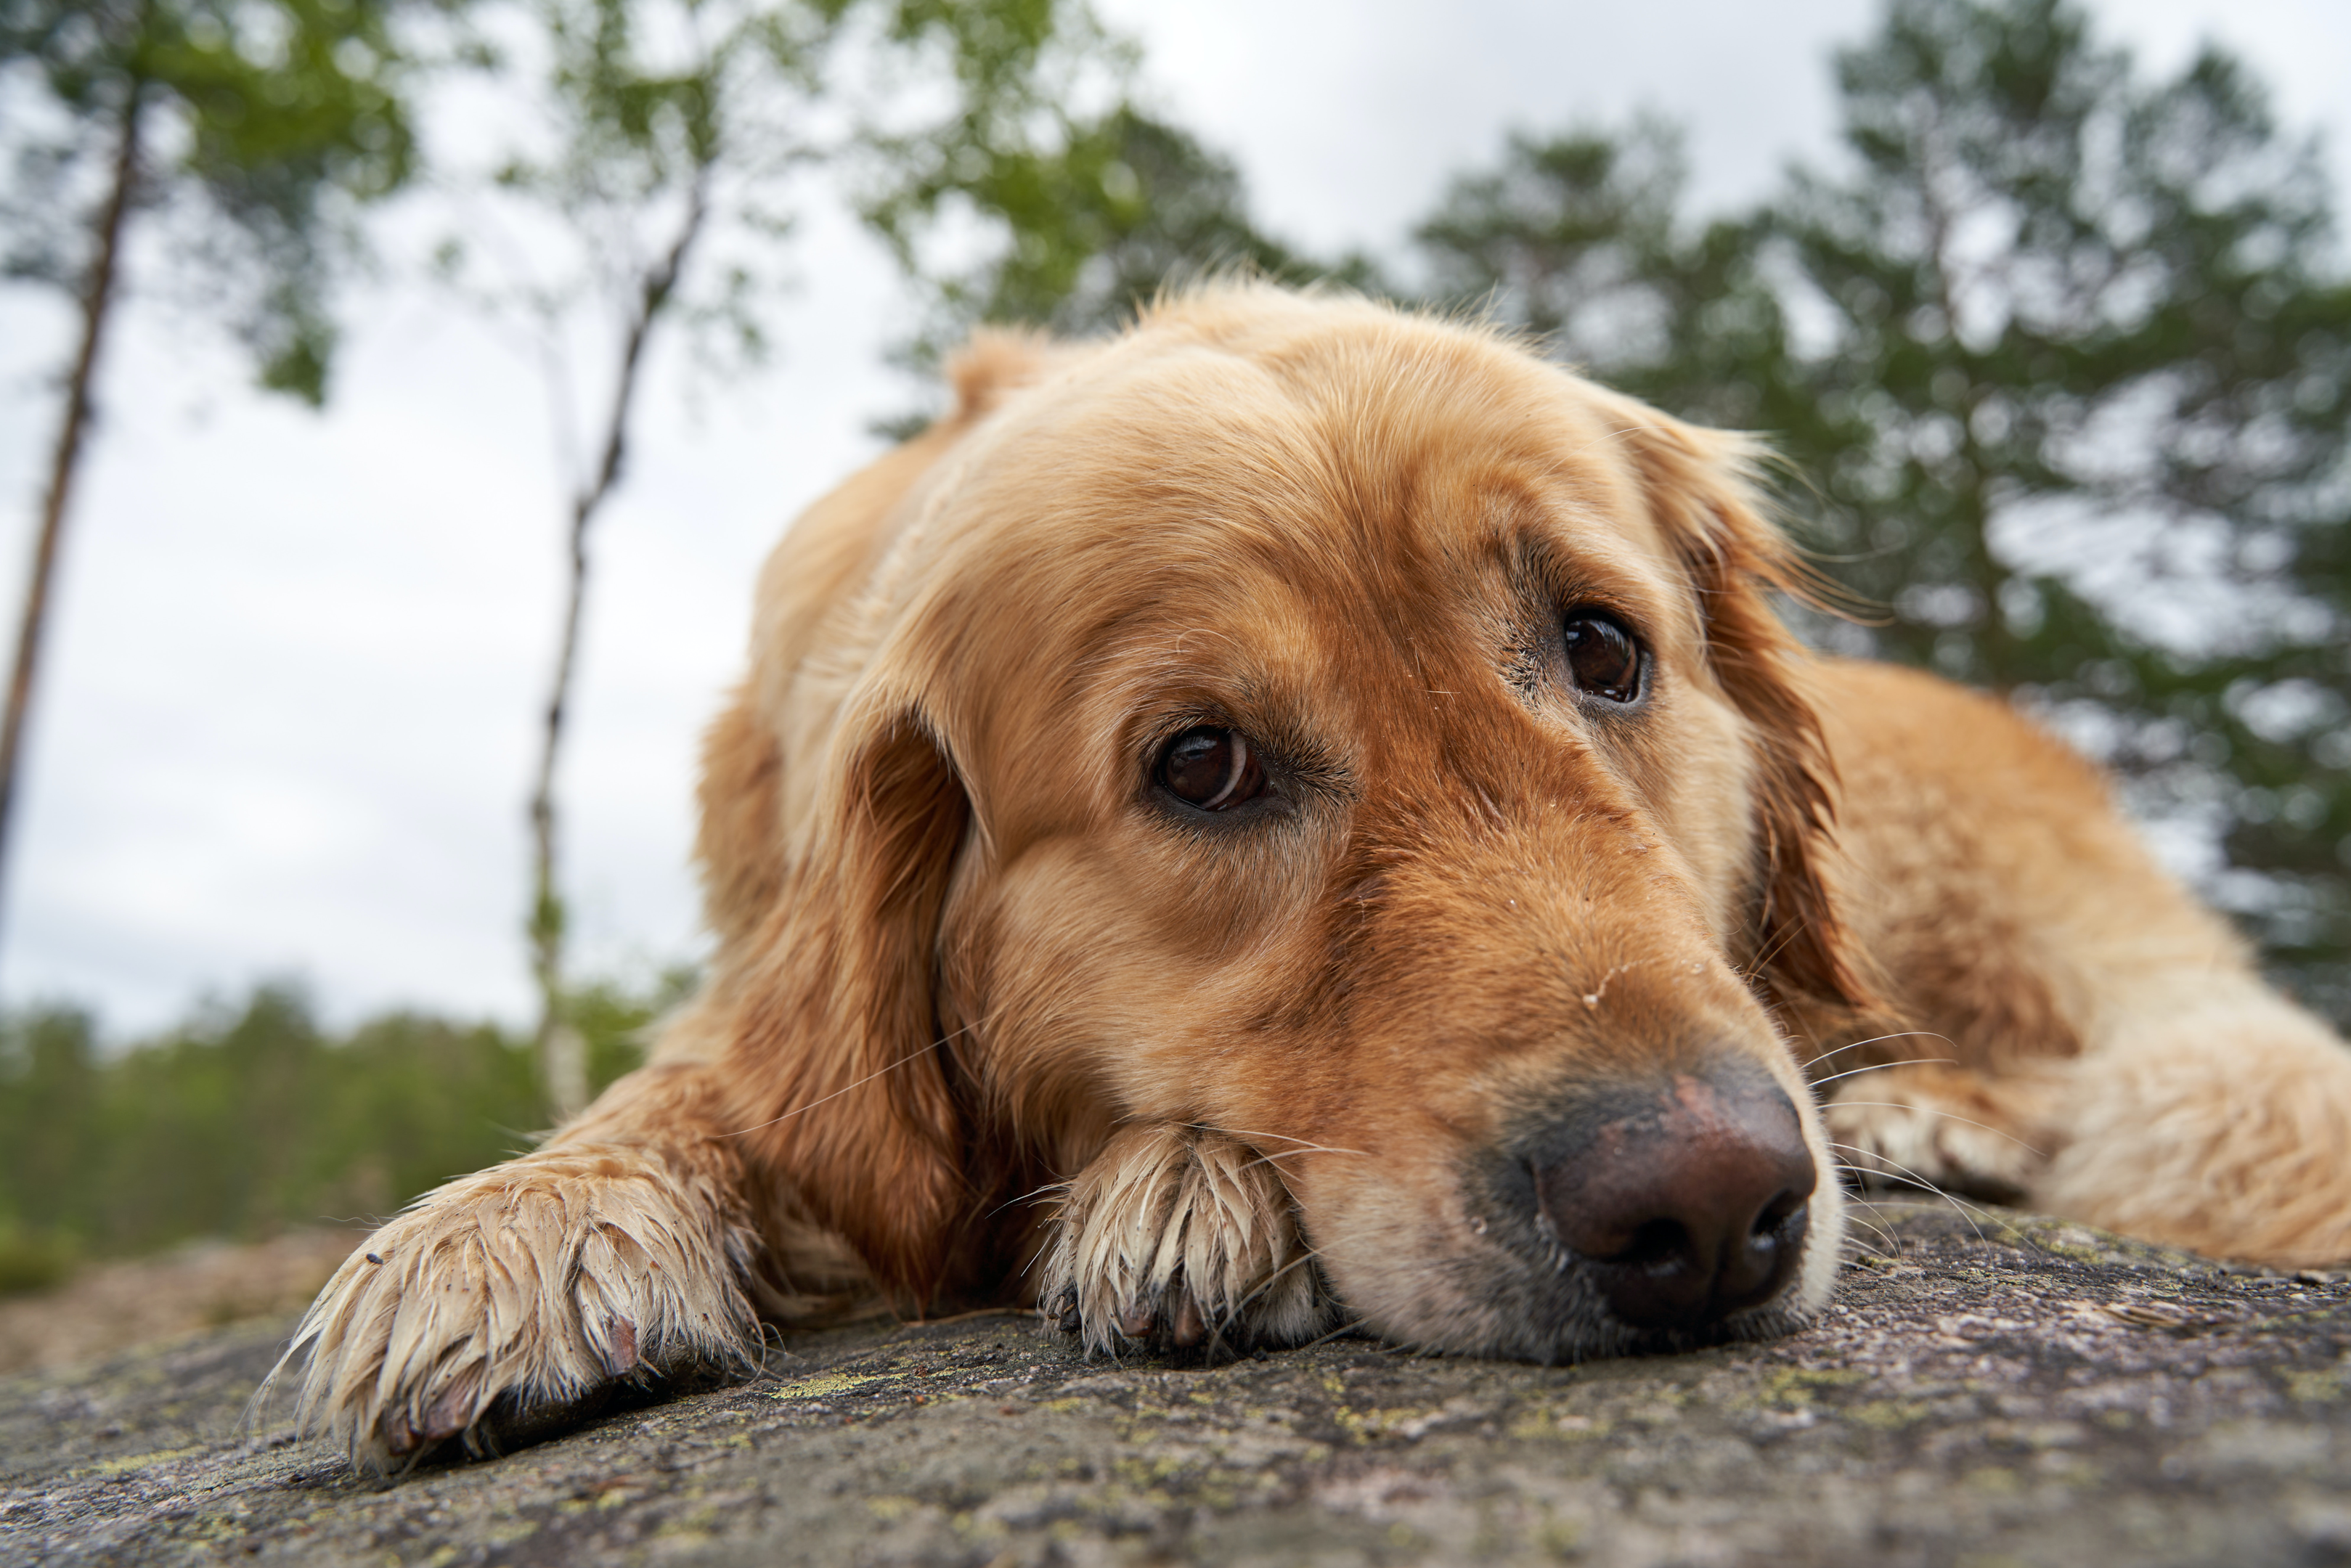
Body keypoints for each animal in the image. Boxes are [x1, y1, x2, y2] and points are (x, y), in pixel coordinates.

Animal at [270, 285, 2351, 1476]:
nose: (1707, 1208)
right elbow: (711, 1075)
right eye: (1198, 765)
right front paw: (527, 1222)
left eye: (1602, 649)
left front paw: (1179, 1186)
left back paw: (1928, 1109)